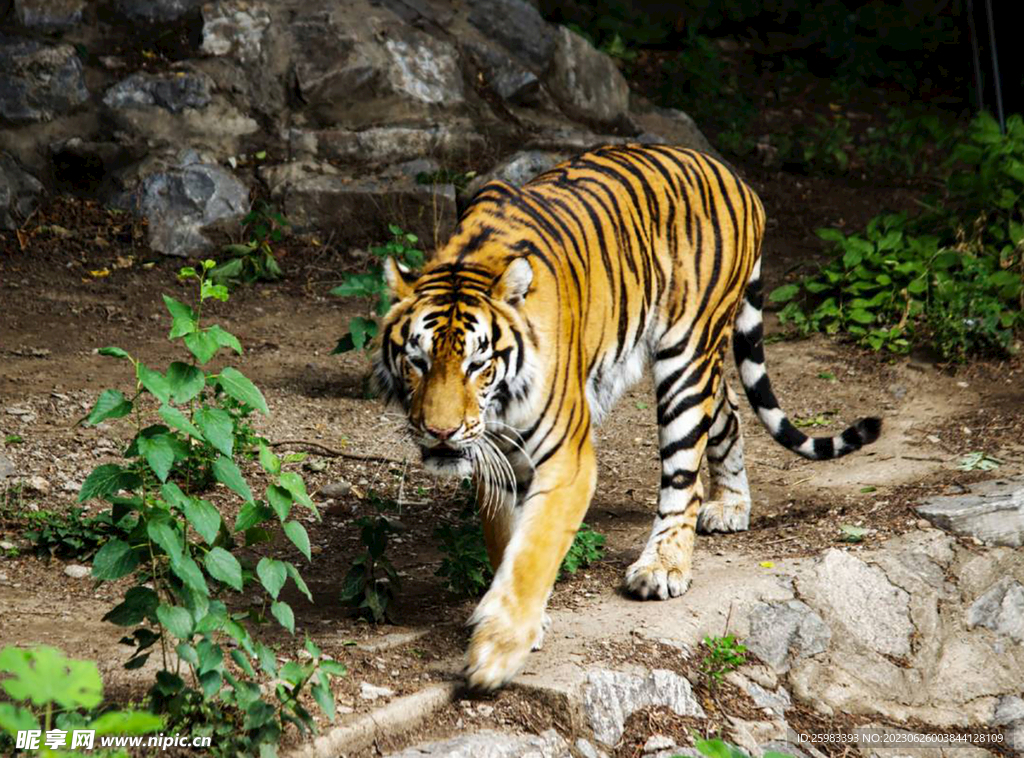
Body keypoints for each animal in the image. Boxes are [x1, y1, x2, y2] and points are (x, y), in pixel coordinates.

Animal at [373, 144, 881, 690]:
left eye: (476, 364)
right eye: (418, 360)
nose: (440, 433)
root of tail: (734, 176)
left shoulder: (568, 461)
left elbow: (533, 551)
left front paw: (498, 650)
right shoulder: (496, 455)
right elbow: (505, 540)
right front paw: (518, 621)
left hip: (686, 356)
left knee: (684, 474)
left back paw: (663, 566)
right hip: (702, 366)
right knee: (727, 412)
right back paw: (731, 504)